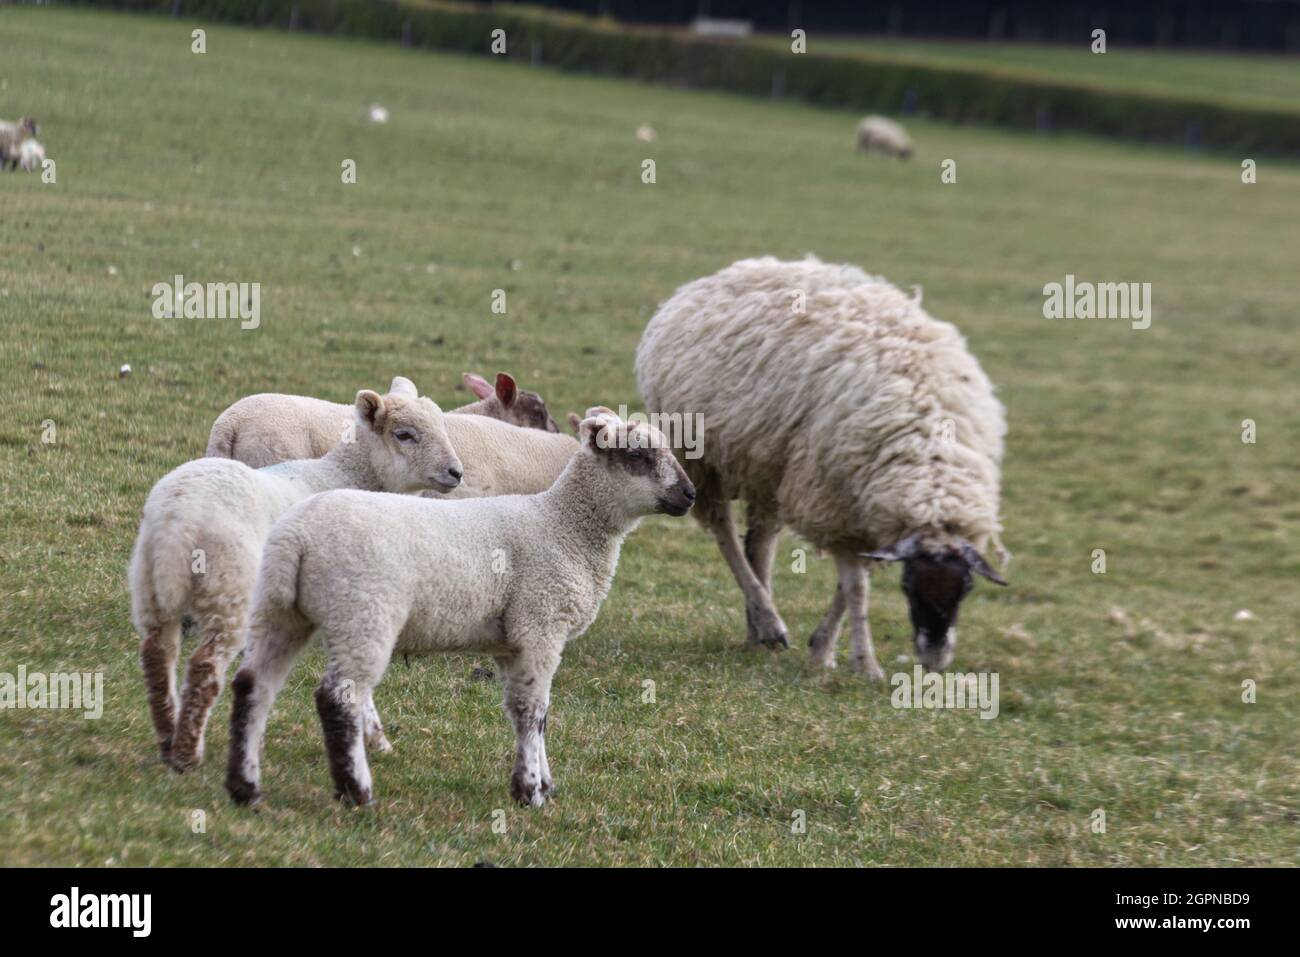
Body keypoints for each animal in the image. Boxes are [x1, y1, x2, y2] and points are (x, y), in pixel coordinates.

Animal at [129, 377, 463, 771]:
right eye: (405, 434)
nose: (456, 472)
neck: (347, 476)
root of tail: (176, 519)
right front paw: (375, 739)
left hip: (150, 585)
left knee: (157, 655)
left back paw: (168, 740)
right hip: (229, 586)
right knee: (204, 666)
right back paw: (186, 753)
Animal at [225, 408, 696, 808]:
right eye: (636, 455)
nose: (689, 494)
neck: (565, 526)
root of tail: (296, 537)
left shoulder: (513, 641)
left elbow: (531, 715)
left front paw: (543, 782)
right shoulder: (541, 624)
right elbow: (532, 713)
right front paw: (529, 792)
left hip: (281, 611)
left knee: (252, 685)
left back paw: (245, 787)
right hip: (364, 612)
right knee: (339, 699)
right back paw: (356, 792)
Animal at [635, 256, 1007, 679]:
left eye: (968, 589)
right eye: (907, 587)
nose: (934, 659)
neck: (929, 465)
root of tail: (734, 271)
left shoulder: (863, 509)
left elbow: (850, 584)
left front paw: (823, 649)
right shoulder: (834, 498)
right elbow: (857, 587)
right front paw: (865, 664)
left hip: (770, 464)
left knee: (760, 543)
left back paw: (758, 628)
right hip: (704, 459)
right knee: (726, 535)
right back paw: (769, 621)